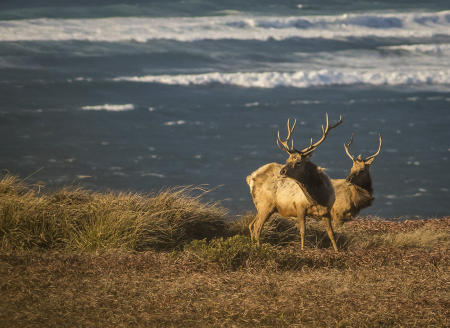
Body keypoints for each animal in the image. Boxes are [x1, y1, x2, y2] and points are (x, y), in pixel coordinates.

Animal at [246, 114, 342, 252]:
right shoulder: (299, 207)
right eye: (287, 160)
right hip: (265, 204)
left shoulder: (327, 211)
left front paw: (337, 251)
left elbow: (331, 234)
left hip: (262, 206)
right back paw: (259, 249)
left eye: (298, 162)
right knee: (257, 227)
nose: (282, 171)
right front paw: (302, 250)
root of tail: (250, 178)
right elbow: (302, 231)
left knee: (251, 224)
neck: (319, 198)